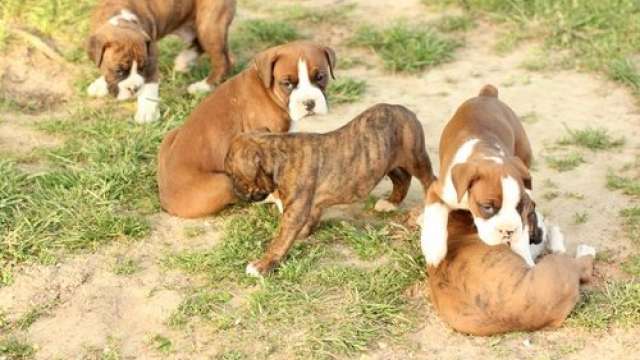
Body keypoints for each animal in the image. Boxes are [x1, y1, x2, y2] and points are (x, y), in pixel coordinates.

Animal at [85, 0, 235, 123]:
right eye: (119, 71)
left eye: (142, 68)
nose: (135, 89)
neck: (121, 18)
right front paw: (100, 84)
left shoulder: (151, 57)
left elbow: (149, 86)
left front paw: (147, 112)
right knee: (200, 43)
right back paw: (184, 60)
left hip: (209, 25)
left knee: (224, 60)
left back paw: (203, 86)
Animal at [158, 40, 338, 218]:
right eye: (287, 84)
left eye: (320, 77)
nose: (309, 103)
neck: (269, 90)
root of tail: (166, 201)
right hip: (223, 183)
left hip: (170, 136)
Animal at [222, 103, 438, 276]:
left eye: (234, 176)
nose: (234, 190)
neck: (276, 156)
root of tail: (405, 111)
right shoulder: (311, 207)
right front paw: (303, 233)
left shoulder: (295, 212)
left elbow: (281, 240)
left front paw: (262, 265)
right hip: (386, 160)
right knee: (402, 178)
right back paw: (391, 203)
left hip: (415, 156)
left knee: (429, 180)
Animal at [420, 84, 536, 268]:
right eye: (487, 207)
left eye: (520, 206)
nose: (508, 230)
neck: (485, 153)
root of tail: (487, 95)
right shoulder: (437, 190)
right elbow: (435, 214)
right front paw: (433, 248)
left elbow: (522, 232)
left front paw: (525, 258)